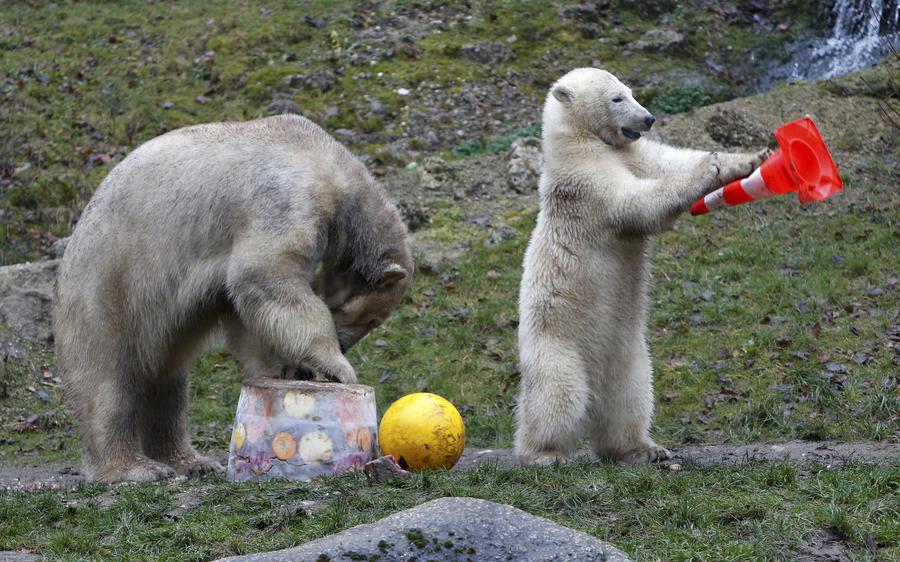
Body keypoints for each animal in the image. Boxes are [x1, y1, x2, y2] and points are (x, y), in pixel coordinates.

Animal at [58, 115, 416, 482]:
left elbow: (245, 313)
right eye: (373, 319)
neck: (329, 165)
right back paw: (134, 466)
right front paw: (337, 367)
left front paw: (288, 369)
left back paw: (189, 460)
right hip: (108, 286)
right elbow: (265, 274)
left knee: (168, 382)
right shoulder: (285, 198)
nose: (344, 345)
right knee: (109, 378)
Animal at [516, 69, 768, 464]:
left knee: (630, 398)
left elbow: (665, 162)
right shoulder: (587, 181)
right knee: (557, 397)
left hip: (630, 356)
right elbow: (633, 202)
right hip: (556, 347)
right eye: (617, 98)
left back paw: (643, 449)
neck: (579, 142)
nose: (648, 119)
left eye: (631, 92)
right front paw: (706, 168)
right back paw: (544, 453)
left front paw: (749, 157)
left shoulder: (631, 153)